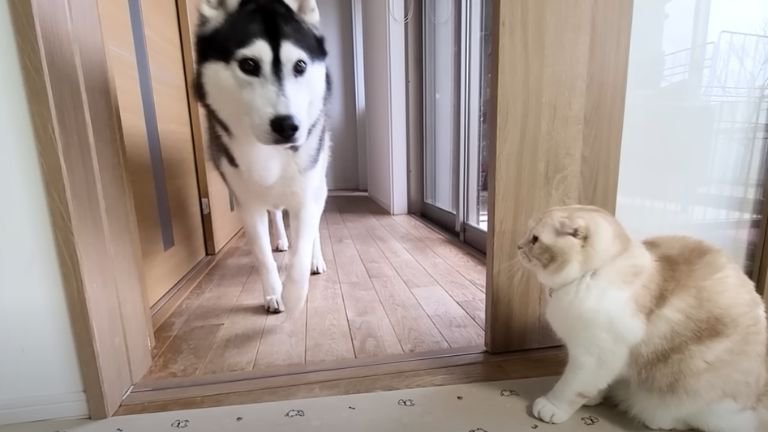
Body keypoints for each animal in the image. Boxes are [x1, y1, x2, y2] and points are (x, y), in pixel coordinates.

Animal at [194, 0, 328, 312]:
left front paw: (295, 291)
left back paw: (315, 259)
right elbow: (262, 254)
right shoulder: (247, 202)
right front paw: (274, 293)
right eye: (248, 64)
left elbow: (303, 243)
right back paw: (281, 239)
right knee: (276, 213)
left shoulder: (307, 193)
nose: (288, 126)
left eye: (300, 65)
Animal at [520, 206, 768, 432]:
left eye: (535, 239)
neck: (589, 275)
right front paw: (594, 398)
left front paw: (552, 406)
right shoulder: (602, 358)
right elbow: (596, 383)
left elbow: (571, 386)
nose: (519, 246)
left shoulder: (594, 355)